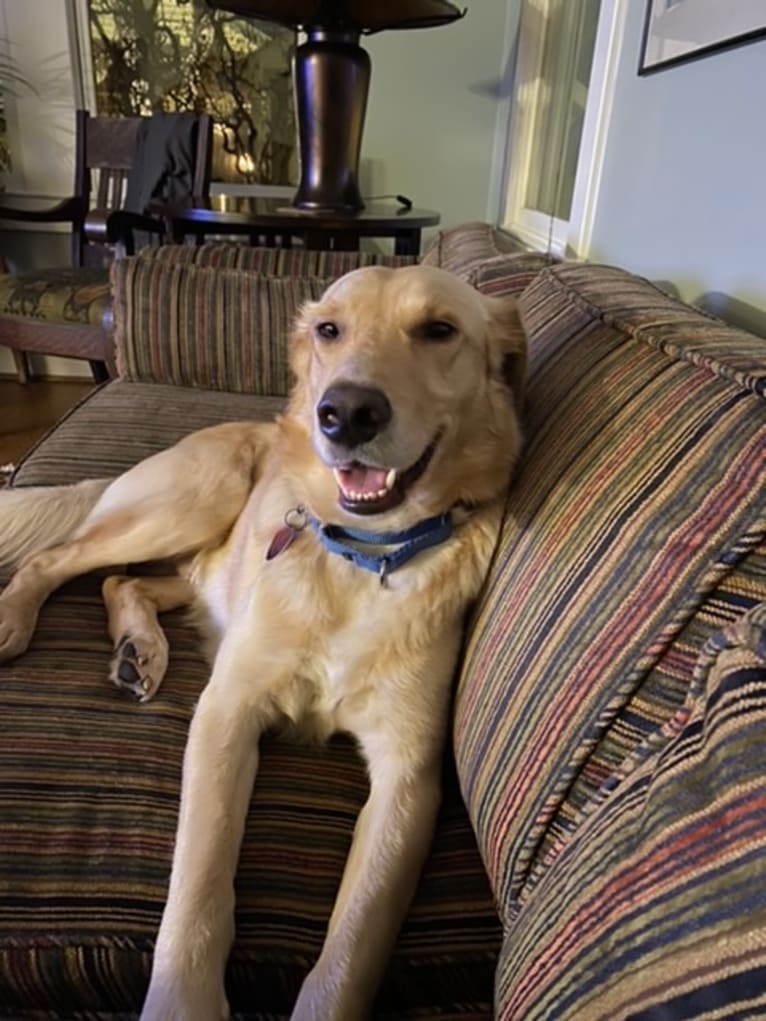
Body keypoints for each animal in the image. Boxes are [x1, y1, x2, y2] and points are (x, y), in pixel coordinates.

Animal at [0, 265, 527, 1021]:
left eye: (439, 330)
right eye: (329, 329)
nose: (346, 413)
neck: (364, 557)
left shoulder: (408, 780)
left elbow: (349, 952)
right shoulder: (226, 711)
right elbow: (201, 876)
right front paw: (182, 999)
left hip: (201, 563)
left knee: (125, 583)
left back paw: (139, 649)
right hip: (195, 501)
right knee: (58, 559)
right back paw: (15, 619)